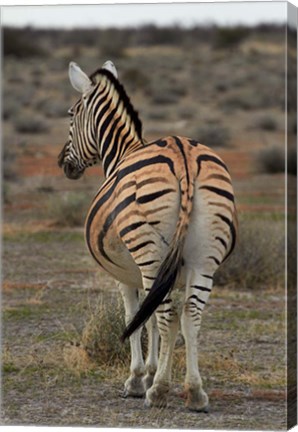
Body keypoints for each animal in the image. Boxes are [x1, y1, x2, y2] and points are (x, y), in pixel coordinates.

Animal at [58, 60, 237, 412]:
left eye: (71, 115)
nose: (63, 164)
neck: (124, 152)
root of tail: (183, 155)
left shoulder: (126, 274)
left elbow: (136, 317)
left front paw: (139, 379)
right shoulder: (154, 274)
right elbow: (151, 317)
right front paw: (153, 371)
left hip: (151, 254)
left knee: (168, 315)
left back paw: (160, 391)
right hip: (204, 258)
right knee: (190, 315)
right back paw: (195, 393)